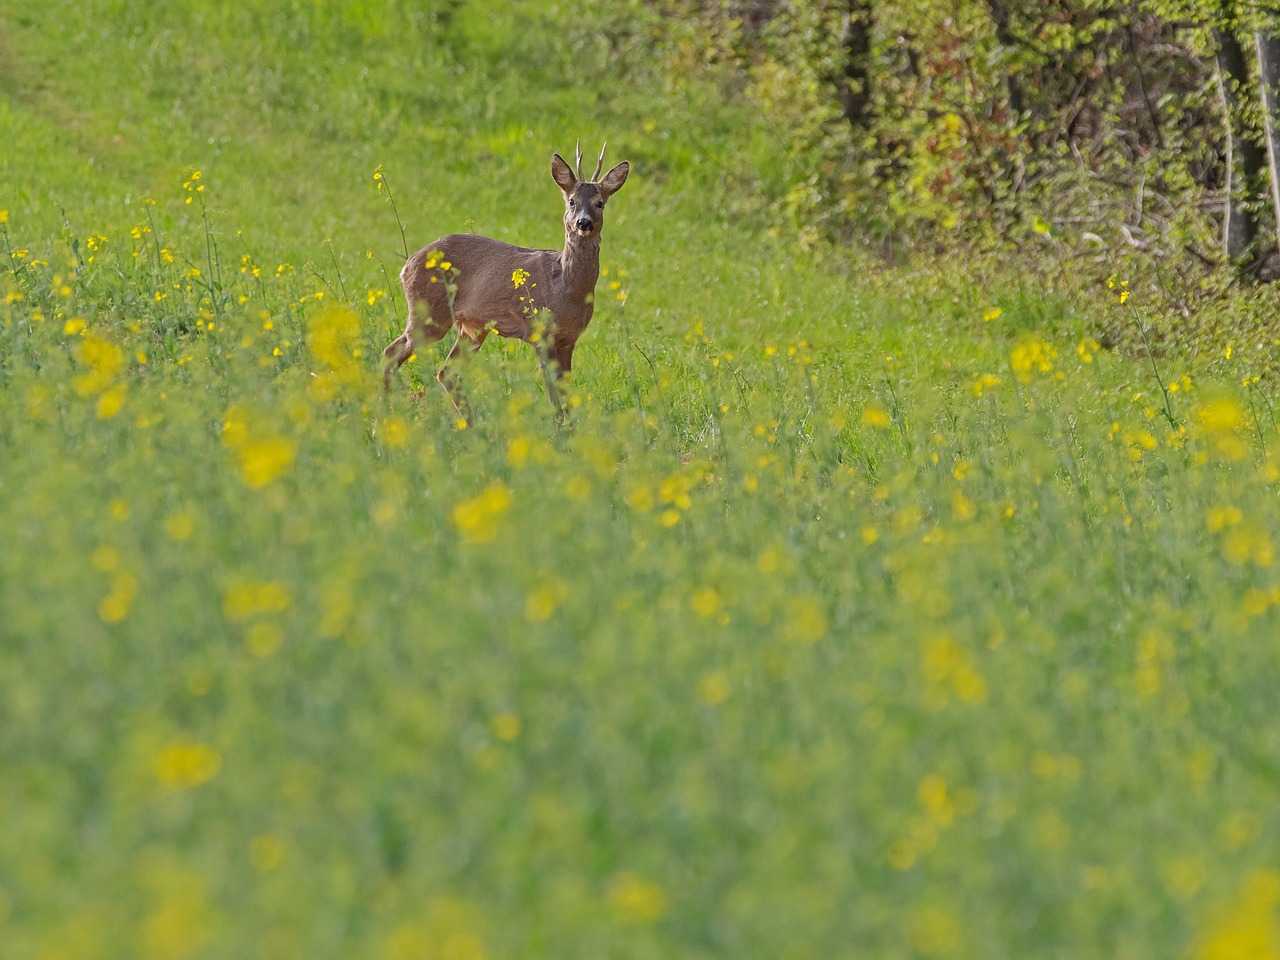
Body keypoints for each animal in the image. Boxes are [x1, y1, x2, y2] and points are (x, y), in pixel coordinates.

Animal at [384, 144, 634, 417]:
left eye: (600, 203)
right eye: (572, 201)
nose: (583, 222)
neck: (566, 289)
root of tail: (407, 265)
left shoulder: (569, 338)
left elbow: (566, 396)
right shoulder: (539, 331)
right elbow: (555, 397)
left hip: (471, 327)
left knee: (446, 372)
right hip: (429, 313)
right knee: (393, 352)